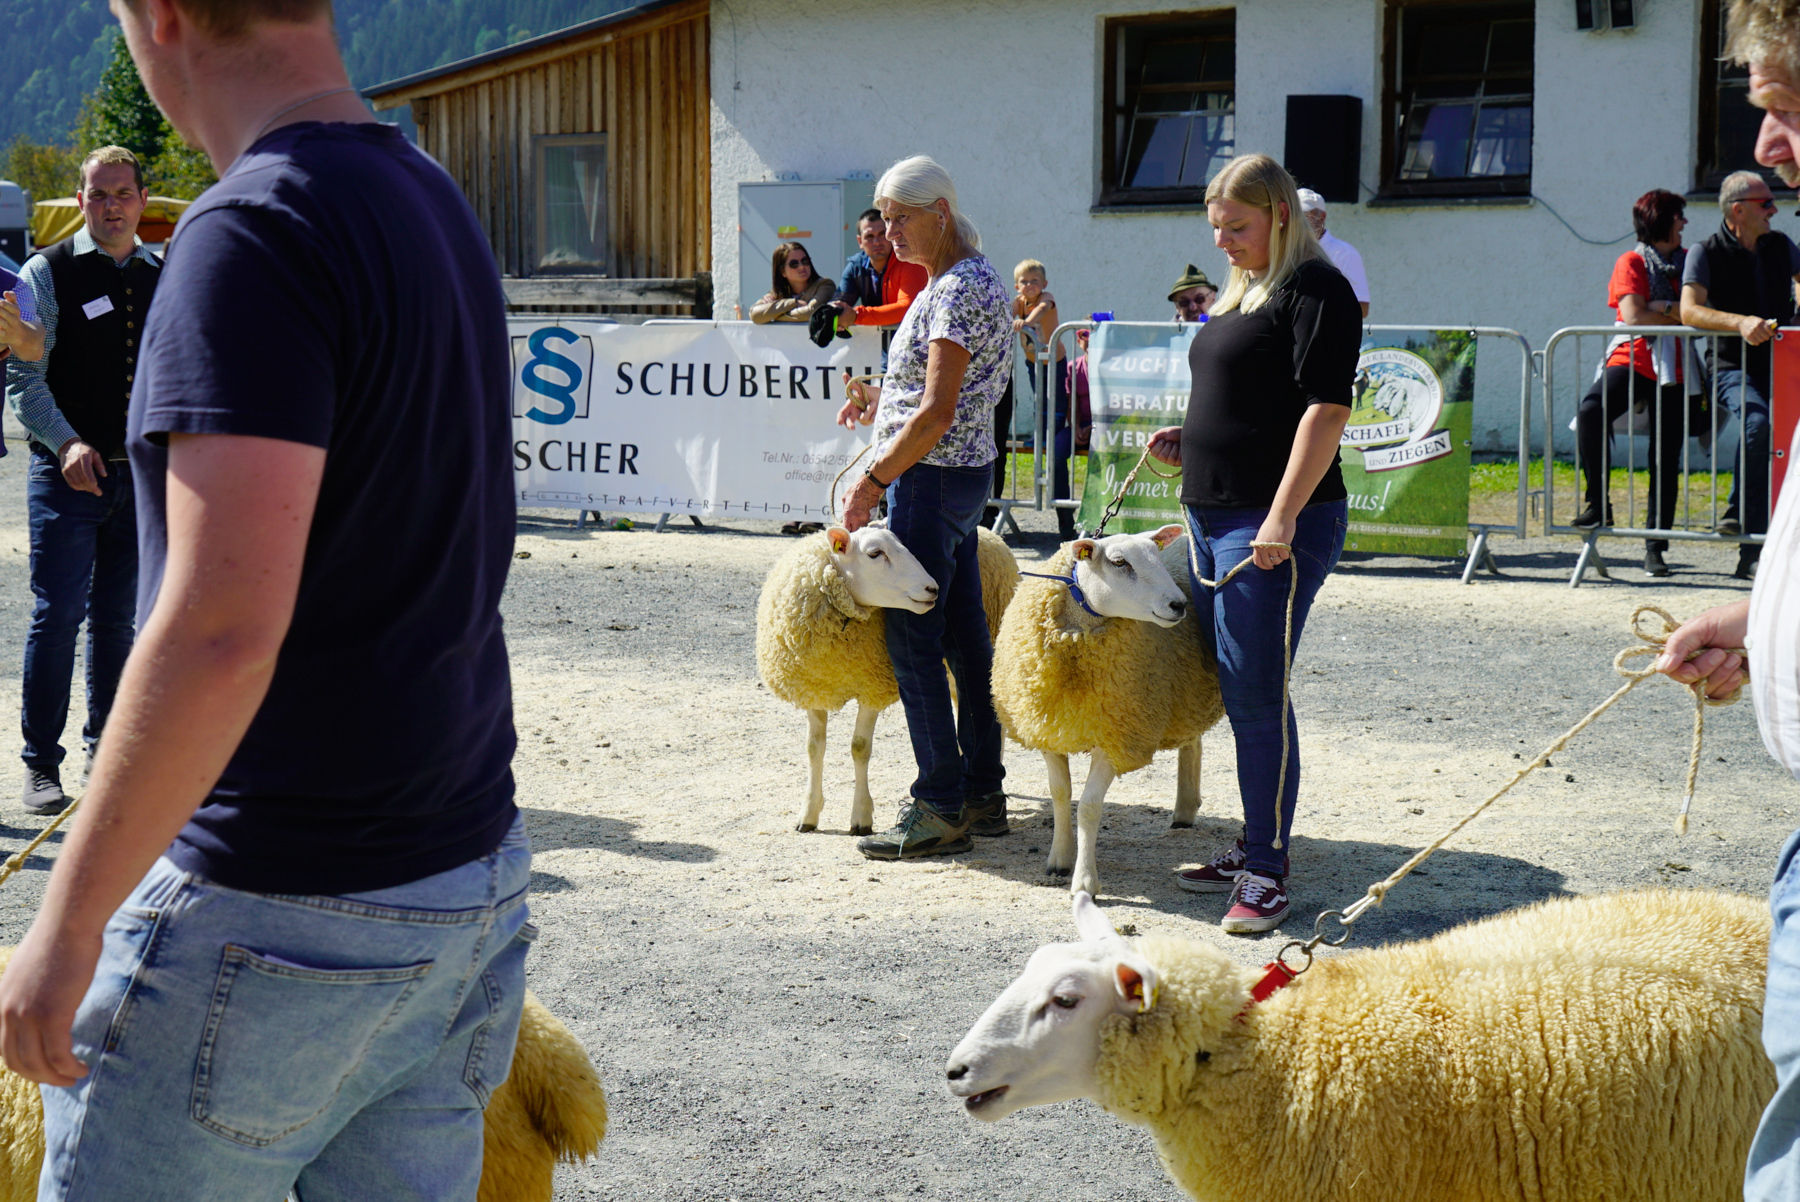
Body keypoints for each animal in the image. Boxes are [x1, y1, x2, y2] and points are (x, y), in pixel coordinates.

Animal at [752, 521, 1022, 842]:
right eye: (875, 554)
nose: (933, 589)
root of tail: (990, 531)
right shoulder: (814, 687)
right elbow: (814, 748)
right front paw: (809, 813)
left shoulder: (873, 687)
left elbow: (859, 748)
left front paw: (861, 817)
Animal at [993, 529, 1231, 899]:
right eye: (1120, 563)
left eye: (1155, 556)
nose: (1179, 605)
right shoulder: (1047, 727)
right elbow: (1060, 794)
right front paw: (1059, 858)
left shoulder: (1116, 735)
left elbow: (1089, 806)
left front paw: (1085, 881)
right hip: (1184, 689)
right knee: (1192, 740)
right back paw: (1184, 809)